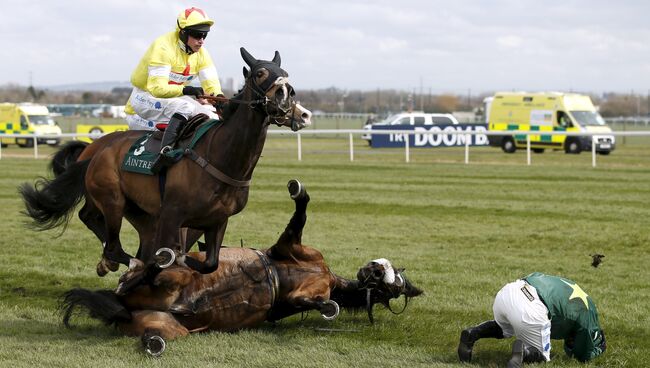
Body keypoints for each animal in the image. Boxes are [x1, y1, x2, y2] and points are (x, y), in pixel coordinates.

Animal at [20, 47, 312, 280]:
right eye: (260, 73)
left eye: (285, 72)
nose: (287, 96)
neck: (221, 157)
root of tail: (96, 152)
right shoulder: (172, 214)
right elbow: (168, 254)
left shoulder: (217, 220)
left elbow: (210, 263)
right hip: (113, 199)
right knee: (111, 240)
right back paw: (124, 262)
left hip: (135, 209)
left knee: (92, 219)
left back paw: (112, 262)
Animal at [58, 181, 418, 356]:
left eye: (395, 282)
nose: (375, 269)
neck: (328, 277)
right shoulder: (290, 247)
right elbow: (300, 215)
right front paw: (298, 191)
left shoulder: (300, 291)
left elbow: (315, 303)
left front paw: (327, 307)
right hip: (176, 278)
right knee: (148, 273)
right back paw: (154, 262)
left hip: (164, 324)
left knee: (152, 329)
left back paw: (153, 342)